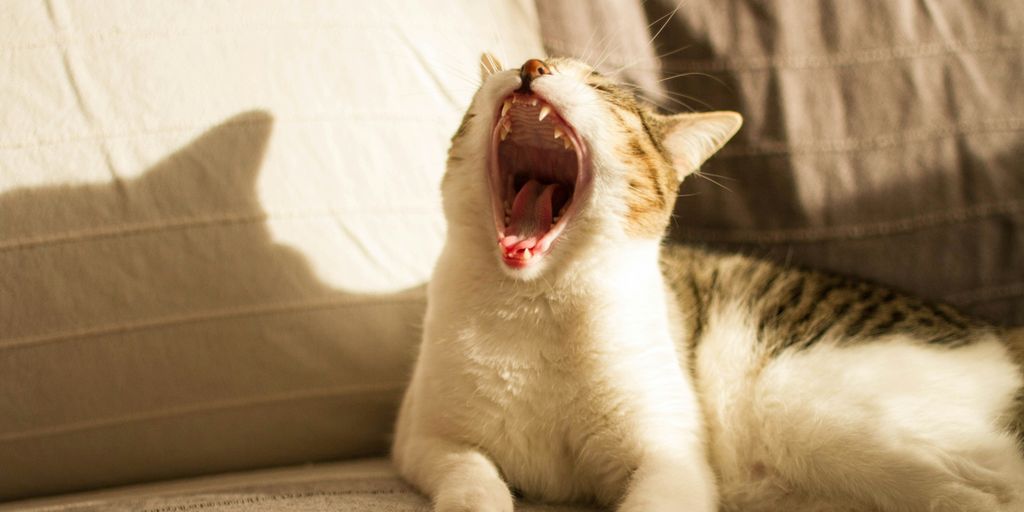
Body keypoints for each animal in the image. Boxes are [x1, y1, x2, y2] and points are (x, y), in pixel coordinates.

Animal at [391, 56, 1024, 512]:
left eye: (601, 89)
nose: (531, 65)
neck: (534, 307)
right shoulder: (426, 439)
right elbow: (472, 479)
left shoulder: (670, 457)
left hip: (803, 405)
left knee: (985, 486)